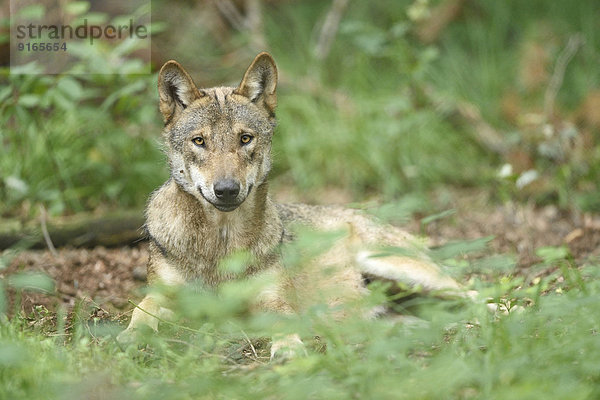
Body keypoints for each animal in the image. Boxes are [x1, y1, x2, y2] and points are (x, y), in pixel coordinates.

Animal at [117, 52, 472, 360]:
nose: (227, 190)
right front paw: (129, 337)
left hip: (405, 271)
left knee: (475, 294)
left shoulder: (274, 301)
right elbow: (142, 311)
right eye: (199, 141)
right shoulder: (164, 296)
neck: (221, 246)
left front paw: (289, 348)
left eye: (245, 139)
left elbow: (283, 322)